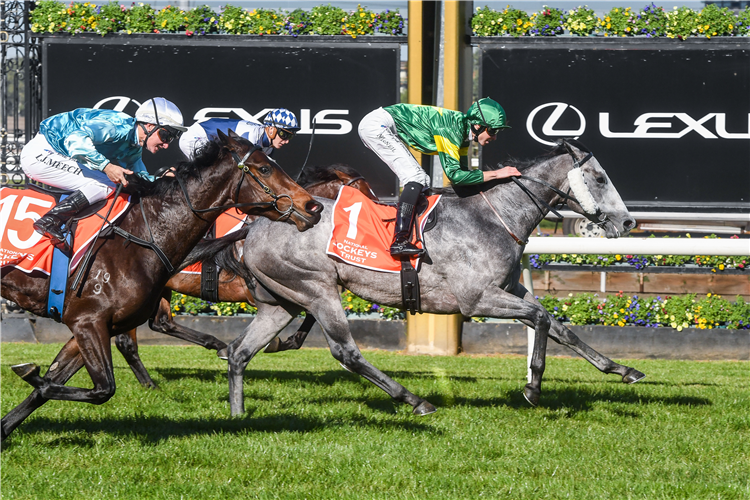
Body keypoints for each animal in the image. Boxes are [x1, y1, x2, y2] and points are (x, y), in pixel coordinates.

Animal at [0, 130, 324, 442]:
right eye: (265, 168)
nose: (313, 206)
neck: (143, 234)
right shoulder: (87, 321)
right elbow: (102, 389)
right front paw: (29, 374)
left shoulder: (94, 326)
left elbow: (55, 382)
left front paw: (8, 423)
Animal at [116, 165, 382, 390]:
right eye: (365, 194)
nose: (380, 221)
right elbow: (309, 314)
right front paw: (279, 342)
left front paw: (282, 342)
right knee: (127, 339)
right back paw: (150, 382)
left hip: (161, 289)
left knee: (161, 322)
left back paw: (213, 347)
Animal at [200, 140, 648, 418]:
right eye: (600, 178)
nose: (628, 222)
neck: (492, 216)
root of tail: (255, 225)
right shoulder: (476, 299)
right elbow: (539, 320)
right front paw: (533, 387)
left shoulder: (507, 289)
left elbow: (557, 325)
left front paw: (621, 369)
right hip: (317, 290)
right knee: (346, 352)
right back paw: (415, 400)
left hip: (282, 301)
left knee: (240, 351)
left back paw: (237, 414)